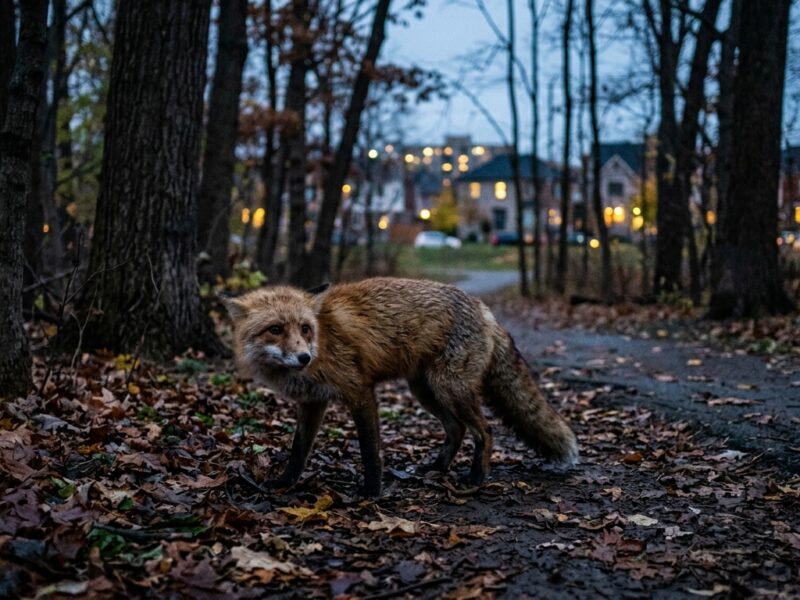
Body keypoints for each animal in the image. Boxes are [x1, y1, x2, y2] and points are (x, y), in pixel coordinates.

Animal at [225, 277, 578, 497]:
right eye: (275, 329)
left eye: (305, 328)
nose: (304, 357)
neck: (323, 340)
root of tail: (483, 308)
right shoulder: (312, 402)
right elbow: (298, 450)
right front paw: (285, 482)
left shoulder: (359, 391)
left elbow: (370, 450)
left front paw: (371, 492)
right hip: (426, 391)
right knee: (457, 429)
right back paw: (436, 467)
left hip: (450, 389)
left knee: (485, 430)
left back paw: (477, 478)